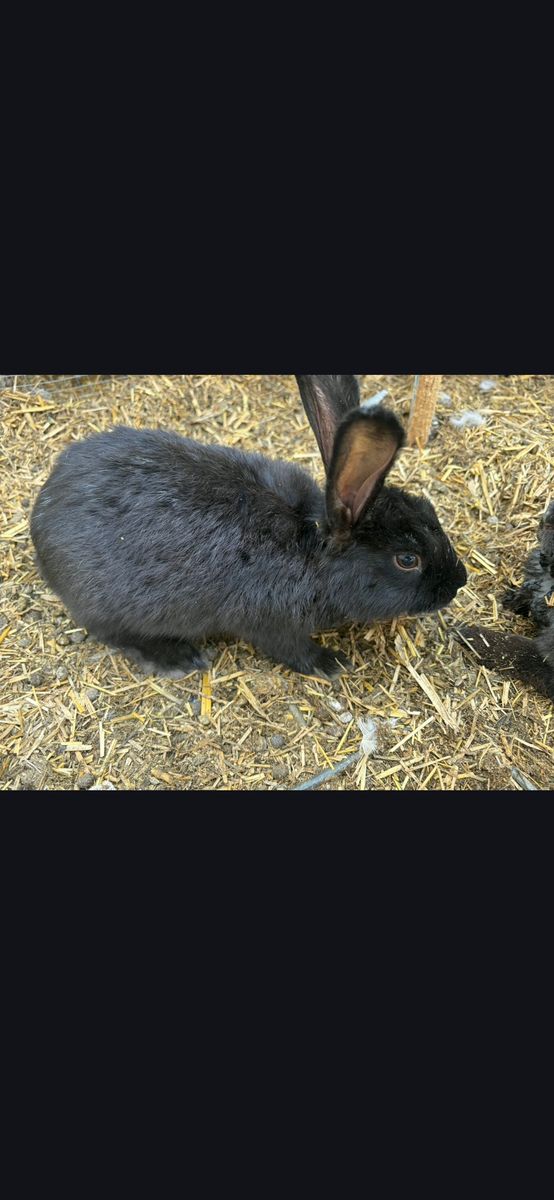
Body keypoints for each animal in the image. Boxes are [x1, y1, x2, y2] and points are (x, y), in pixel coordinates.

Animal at [30, 374, 467, 680]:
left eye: (429, 509)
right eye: (407, 559)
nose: (459, 581)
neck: (311, 546)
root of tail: (43, 514)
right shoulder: (273, 624)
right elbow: (292, 650)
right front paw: (331, 664)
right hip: (111, 607)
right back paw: (178, 658)